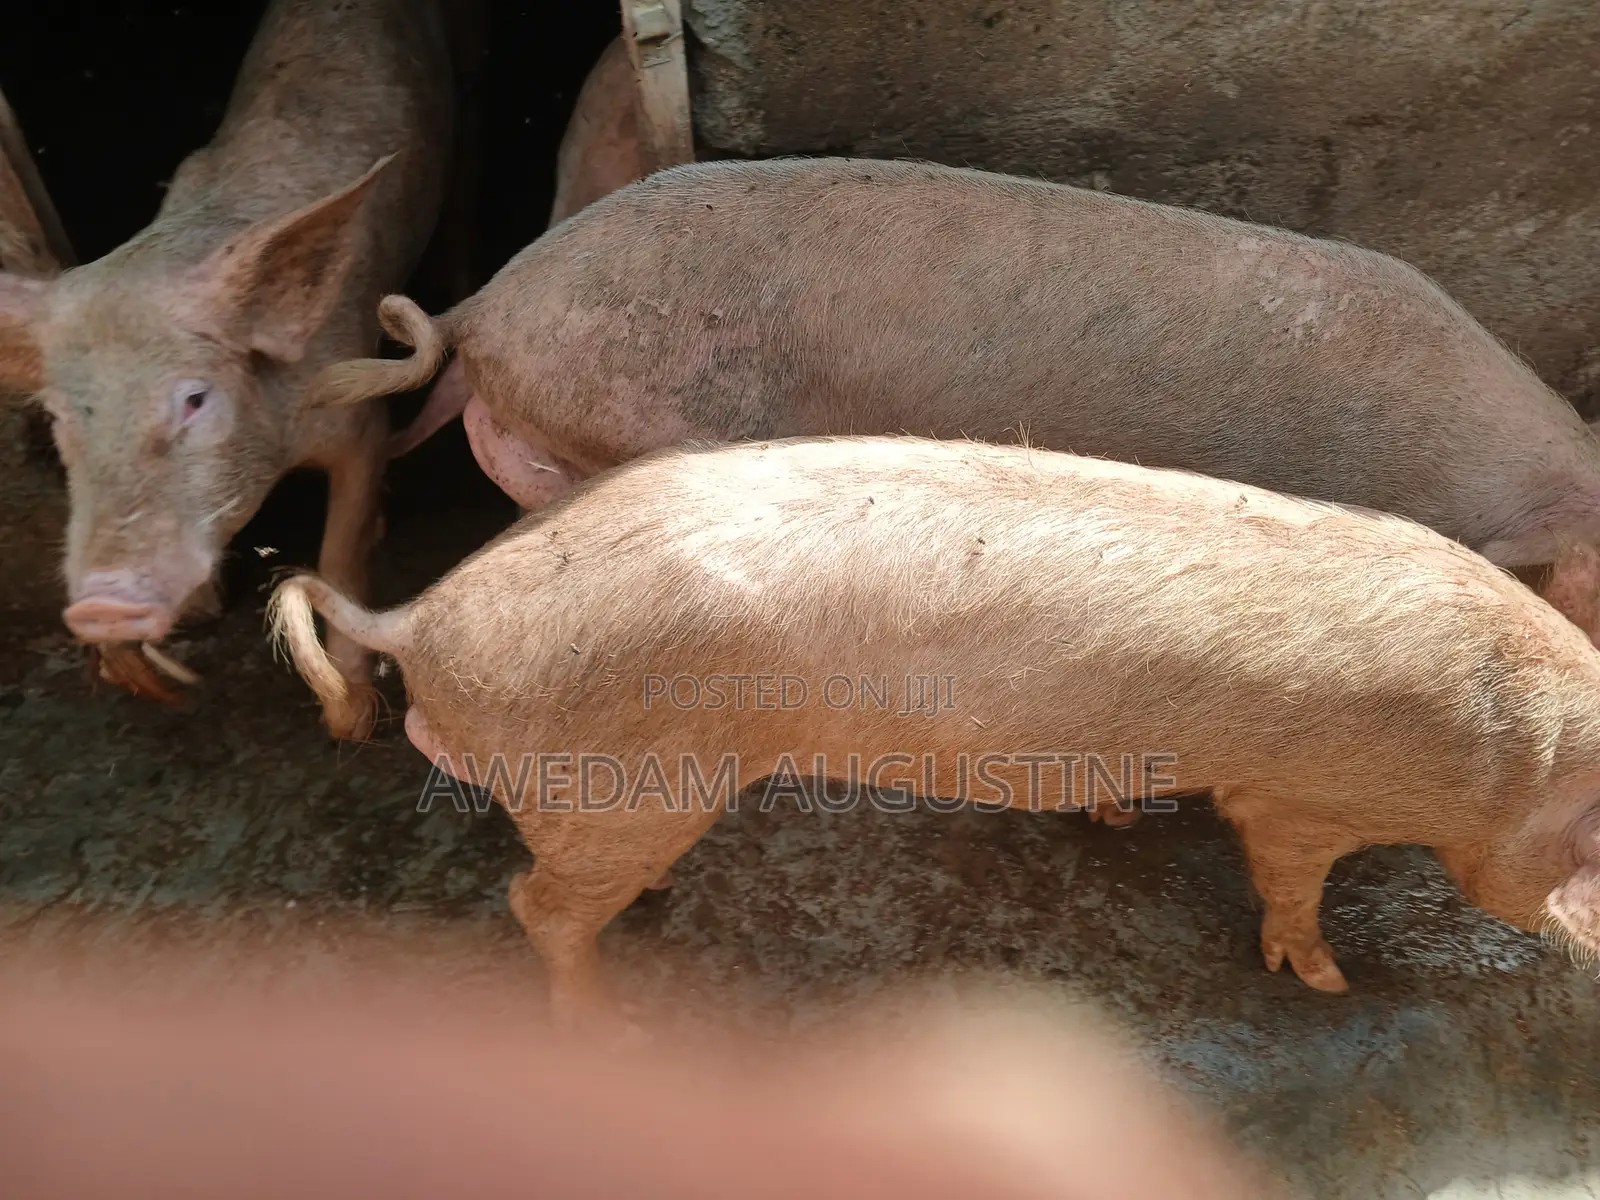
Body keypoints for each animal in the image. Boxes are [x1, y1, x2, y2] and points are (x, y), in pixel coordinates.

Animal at [0, 0, 456, 739]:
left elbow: (342, 551)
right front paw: (164, 664)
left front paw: (351, 718)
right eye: (61, 417)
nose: (100, 604)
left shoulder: (359, 416)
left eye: (194, 400)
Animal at [268, 435, 1600, 1028]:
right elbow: (1286, 882)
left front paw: (1119, 815)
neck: (1508, 746)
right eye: (1588, 835)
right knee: (533, 907)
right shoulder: (1298, 801)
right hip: (628, 783)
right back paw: (606, 1015)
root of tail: (422, 614)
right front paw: (1328, 982)